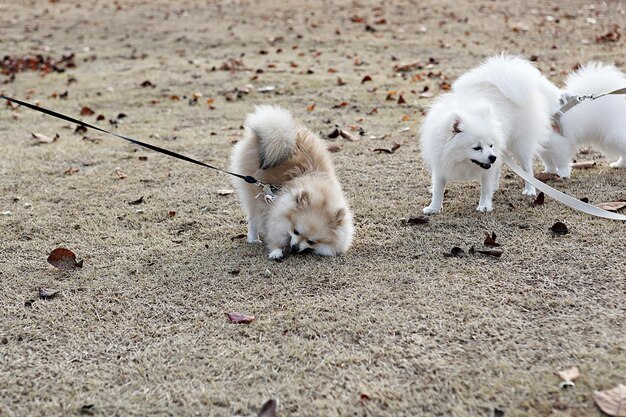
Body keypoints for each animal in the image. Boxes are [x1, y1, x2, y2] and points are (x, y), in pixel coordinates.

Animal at [230, 105, 356, 260]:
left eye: (311, 241)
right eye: (295, 231)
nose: (295, 248)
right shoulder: (271, 211)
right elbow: (273, 233)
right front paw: (276, 251)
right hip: (251, 189)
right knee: (253, 217)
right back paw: (253, 239)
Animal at [420, 53, 552, 213]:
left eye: (490, 145)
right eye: (477, 148)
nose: (492, 157)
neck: (459, 159)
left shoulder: (488, 165)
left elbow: (485, 187)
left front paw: (484, 205)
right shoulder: (440, 162)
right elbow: (438, 188)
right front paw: (433, 208)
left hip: (520, 143)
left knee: (526, 167)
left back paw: (530, 190)